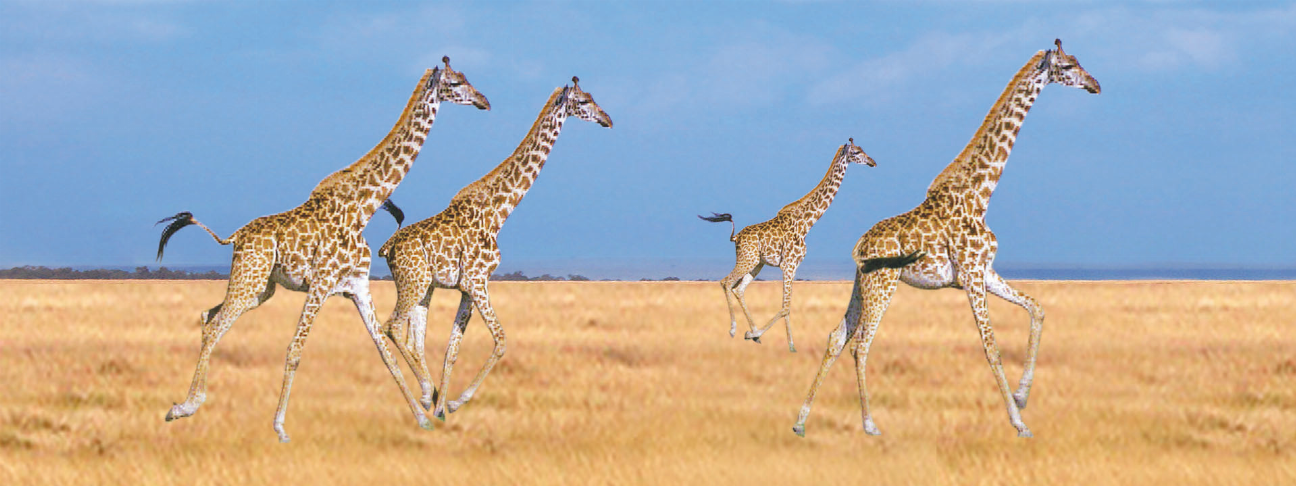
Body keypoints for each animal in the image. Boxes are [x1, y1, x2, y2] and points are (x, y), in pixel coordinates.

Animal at [154, 57, 490, 442]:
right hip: (248, 278)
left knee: (209, 317)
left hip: (261, 288)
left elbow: (385, 351)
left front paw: (423, 419)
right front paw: (280, 428)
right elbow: (295, 349)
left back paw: (187, 404)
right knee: (215, 325)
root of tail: (235, 237)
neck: (362, 208)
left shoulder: (358, 285)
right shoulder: (320, 283)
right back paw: (184, 407)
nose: (484, 101)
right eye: (455, 83)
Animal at [378, 76, 611, 420]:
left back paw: (428, 397)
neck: (499, 212)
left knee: (412, 339)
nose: (607, 119)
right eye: (583, 102)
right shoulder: (478, 282)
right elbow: (501, 340)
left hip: (424, 287)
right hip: (413, 283)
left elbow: (452, 348)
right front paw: (454, 402)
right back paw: (424, 394)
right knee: (392, 326)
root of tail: (389, 245)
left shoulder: (467, 287)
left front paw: (443, 406)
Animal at [698, 138, 878, 353]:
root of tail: (736, 238)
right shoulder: (789, 265)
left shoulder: (792, 266)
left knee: (738, 289)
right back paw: (735, 330)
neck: (807, 223)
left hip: (757, 263)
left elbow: (786, 306)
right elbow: (785, 307)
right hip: (747, 260)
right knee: (726, 282)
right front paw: (787, 344)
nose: (873, 162)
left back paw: (754, 333)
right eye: (857, 152)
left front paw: (770, 338)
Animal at [792, 39, 1101, 438]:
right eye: (1068, 65)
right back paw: (870, 425)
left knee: (836, 337)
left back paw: (801, 421)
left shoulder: (984, 272)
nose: (1095, 84)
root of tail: (858, 246)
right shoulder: (970, 275)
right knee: (860, 344)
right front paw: (1019, 423)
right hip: (883, 283)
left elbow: (1038, 309)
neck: (980, 194)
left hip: (861, 284)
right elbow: (991, 346)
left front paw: (1021, 397)